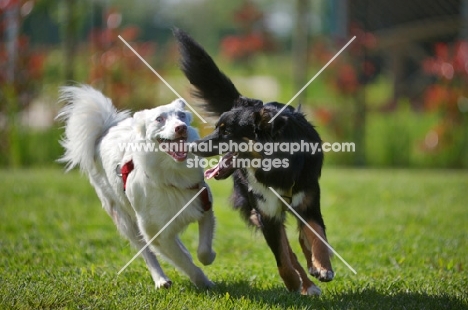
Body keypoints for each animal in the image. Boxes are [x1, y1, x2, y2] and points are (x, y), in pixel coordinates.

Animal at [56, 84, 216, 288]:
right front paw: (202, 282)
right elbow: (184, 262)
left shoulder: (204, 206)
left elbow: (202, 249)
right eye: (159, 119)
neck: (171, 175)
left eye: (181, 115)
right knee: (148, 253)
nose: (181, 127)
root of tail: (104, 131)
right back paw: (161, 280)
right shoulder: (156, 234)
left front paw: (209, 258)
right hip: (126, 222)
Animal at [175, 29, 332, 296]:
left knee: (301, 239)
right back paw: (305, 284)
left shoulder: (309, 202)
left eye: (227, 132)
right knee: (288, 249)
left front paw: (323, 267)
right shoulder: (266, 213)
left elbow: (317, 235)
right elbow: (283, 258)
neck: (278, 170)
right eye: (217, 127)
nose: (192, 146)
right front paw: (293, 283)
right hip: (252, 208)